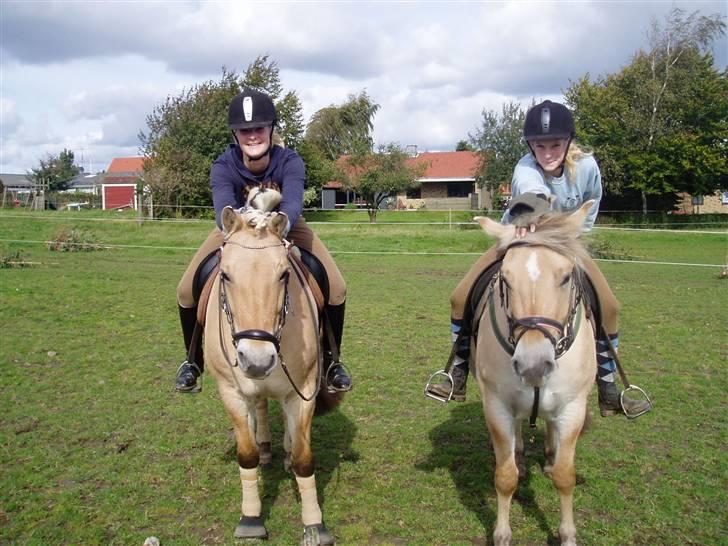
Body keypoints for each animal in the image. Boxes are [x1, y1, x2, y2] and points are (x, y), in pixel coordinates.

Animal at [203, 205, 336, 544]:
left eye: (284, 274)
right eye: (225, 274)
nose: (257, 360)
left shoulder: (303, 391)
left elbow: (304, 458)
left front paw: (314, 524)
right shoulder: (231, 393)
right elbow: (246, 454)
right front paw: (251, 518)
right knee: (259, 408)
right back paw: (265, 446)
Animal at [472, 200, 596, 544]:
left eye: (566, 277)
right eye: (505, 279)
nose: (533, 365)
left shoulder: (572, 407)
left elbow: (566, 476)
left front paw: (567, 534)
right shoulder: (497, 405)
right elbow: (504, 476)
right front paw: (502, 534)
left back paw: (551, 456)